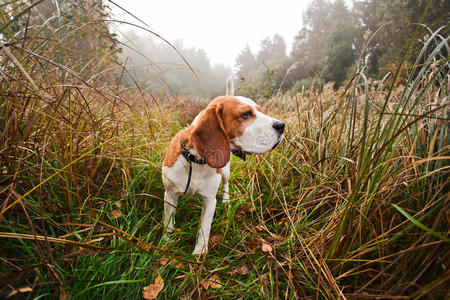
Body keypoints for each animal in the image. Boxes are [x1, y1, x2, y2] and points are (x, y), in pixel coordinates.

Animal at [163, 78, 284, 255]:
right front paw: (166, 241)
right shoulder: (170, 194)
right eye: (246, 114)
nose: (282, 126)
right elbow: (168, 222)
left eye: (260, 110)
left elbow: (204, 228)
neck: (196, 160)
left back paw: (226, 200)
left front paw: (199, 252)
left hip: (225, 172)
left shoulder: (209, 200)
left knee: (226, 184)